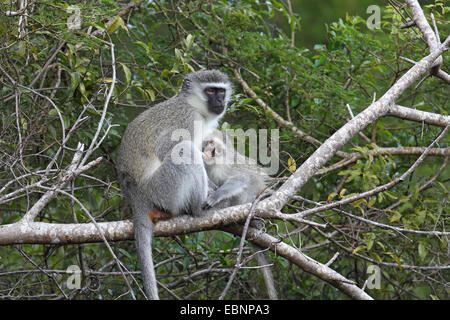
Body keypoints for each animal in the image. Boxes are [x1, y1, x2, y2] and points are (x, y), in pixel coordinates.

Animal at [117, 70, 232, 300]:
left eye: (221, 91)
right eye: (210, 91)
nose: (220, 101)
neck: (193, 106)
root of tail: (135, 193)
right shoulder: (188, 119)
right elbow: (168, 147)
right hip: (161, 188)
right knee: (184, 150)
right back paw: (199, 210)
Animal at [201, 129, 278, 298]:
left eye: (211, 143)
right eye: (205, 144)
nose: (205, 151)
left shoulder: (231, 165)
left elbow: (242, 178)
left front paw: (215, 196)